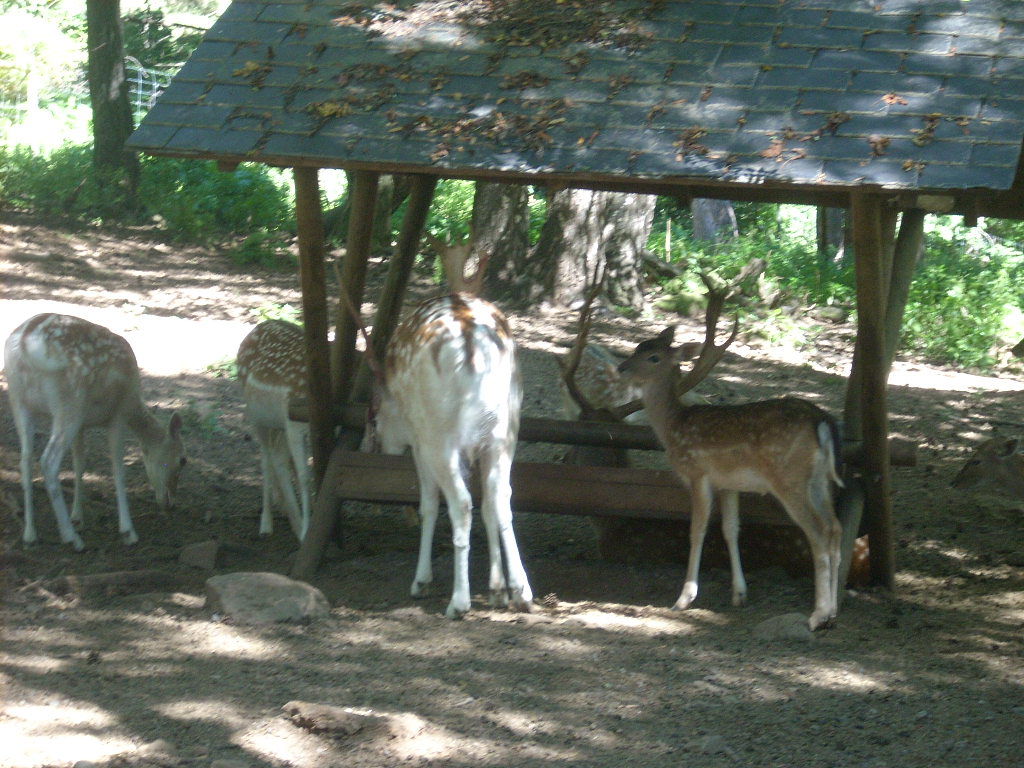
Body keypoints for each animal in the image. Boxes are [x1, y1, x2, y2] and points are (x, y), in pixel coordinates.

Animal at [3, 313, 186, 552]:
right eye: (182, 460)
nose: (171, 503)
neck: (134, 401)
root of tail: (24, 342)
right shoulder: (118, 414)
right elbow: (118, 468)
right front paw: (128, 531)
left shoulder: (83, 425)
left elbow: (80, 462)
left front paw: (77, 517)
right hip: (70, 401)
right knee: (48, 461)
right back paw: (71, 538)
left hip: (19, 400)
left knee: (25, 458)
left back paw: (30, 534)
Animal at [237, 319, 317, 540]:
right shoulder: (294, 423)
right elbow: (305, 476)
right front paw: (305, 532)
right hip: (256, 416)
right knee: (267, 460)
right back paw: (267, 524)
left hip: (276, 424)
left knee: (278, 456)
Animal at [362, 290, 536, 622]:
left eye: (373, 419)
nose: (370, 449)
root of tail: (473, 344)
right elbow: (488, 507)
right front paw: (497, 591)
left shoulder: (420, 444)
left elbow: (428, 505)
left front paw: (420, 581)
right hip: (506, 432)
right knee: (501, 496)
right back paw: (522, 592)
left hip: (440, 438)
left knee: (462, 503)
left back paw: (458, 602)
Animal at [614, 290, 839, 630]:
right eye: (639, 346)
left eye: (654, 357)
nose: (621, 368)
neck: (673, 427)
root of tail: (821, 422)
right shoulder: (729, 484)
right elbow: (731, 529)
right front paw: (739, 594)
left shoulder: (697, 473)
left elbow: (697, 530)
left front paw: (684, 598)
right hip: (820, 480)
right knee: (836, 527)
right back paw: (835, 610)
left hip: (789, 477)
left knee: (819, 532)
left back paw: (818, 614)